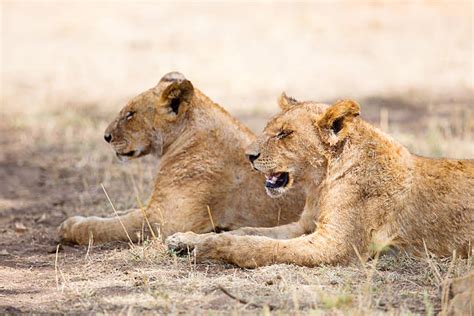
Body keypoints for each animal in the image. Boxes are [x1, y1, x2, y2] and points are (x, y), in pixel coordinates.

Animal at [57, 73, 306, 246]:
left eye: (130, 114)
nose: (106, 136)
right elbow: (117, 215)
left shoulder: (163, 222)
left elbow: (107, 227)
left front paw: (69, 226)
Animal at [167, 97, 474, 270]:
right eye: (268, 129)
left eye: (285, 134)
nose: (249, 155)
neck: (319, 184)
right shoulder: (304, 226)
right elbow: (249, 231)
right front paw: (186, 239)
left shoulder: (336, 245)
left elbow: (260, 246)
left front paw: (204, 249)